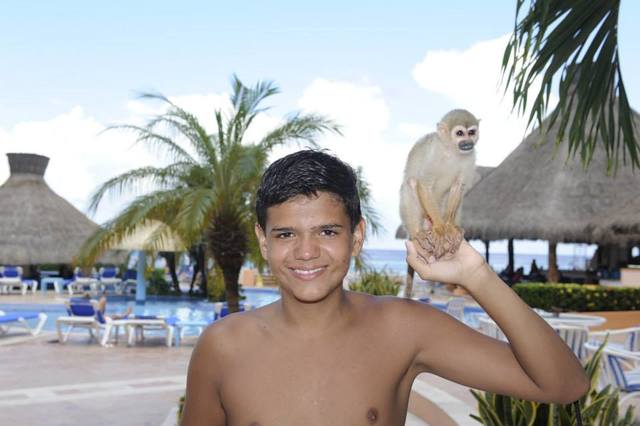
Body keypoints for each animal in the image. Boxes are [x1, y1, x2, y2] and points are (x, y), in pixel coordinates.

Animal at [399, 109, 479, 297]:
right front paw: (440, 228)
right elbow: (424, 185)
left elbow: (458, 187)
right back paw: (418, 233)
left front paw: (449, 226)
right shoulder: (434, 153)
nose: (468, 143)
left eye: (471, 132)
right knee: (411, 183)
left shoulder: (471, 156)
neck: (452, 151)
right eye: (460, 133)